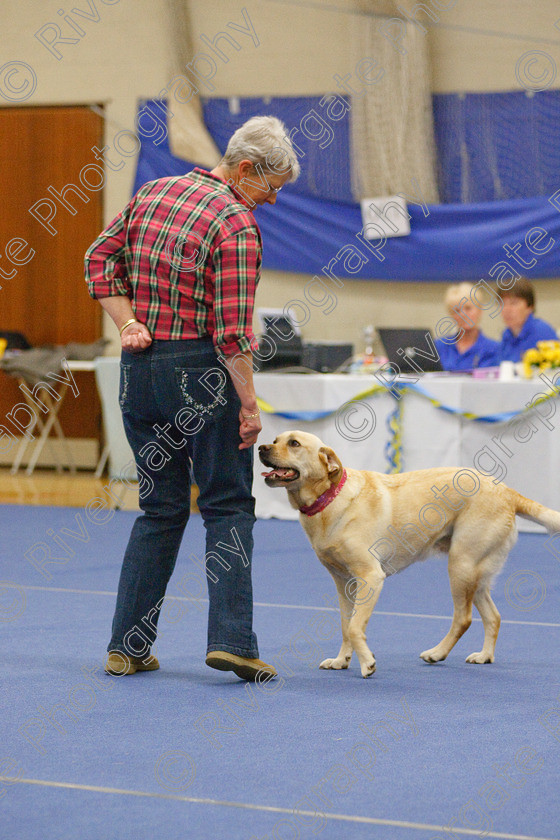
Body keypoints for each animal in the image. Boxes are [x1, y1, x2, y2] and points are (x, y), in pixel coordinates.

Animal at [260, 434, 556, 676]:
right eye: (275, 440)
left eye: (294, 443)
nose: (261, 447)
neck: (329, 498)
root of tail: (507, 490)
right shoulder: (343, 582)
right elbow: (346, 624)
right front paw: (341, 660)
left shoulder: (370, 577)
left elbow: (355, 627)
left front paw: (367, 663)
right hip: (478, 572)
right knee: (493, 617)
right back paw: (484, 656)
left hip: (462, 565)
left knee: (464, 618)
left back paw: (437, 653)